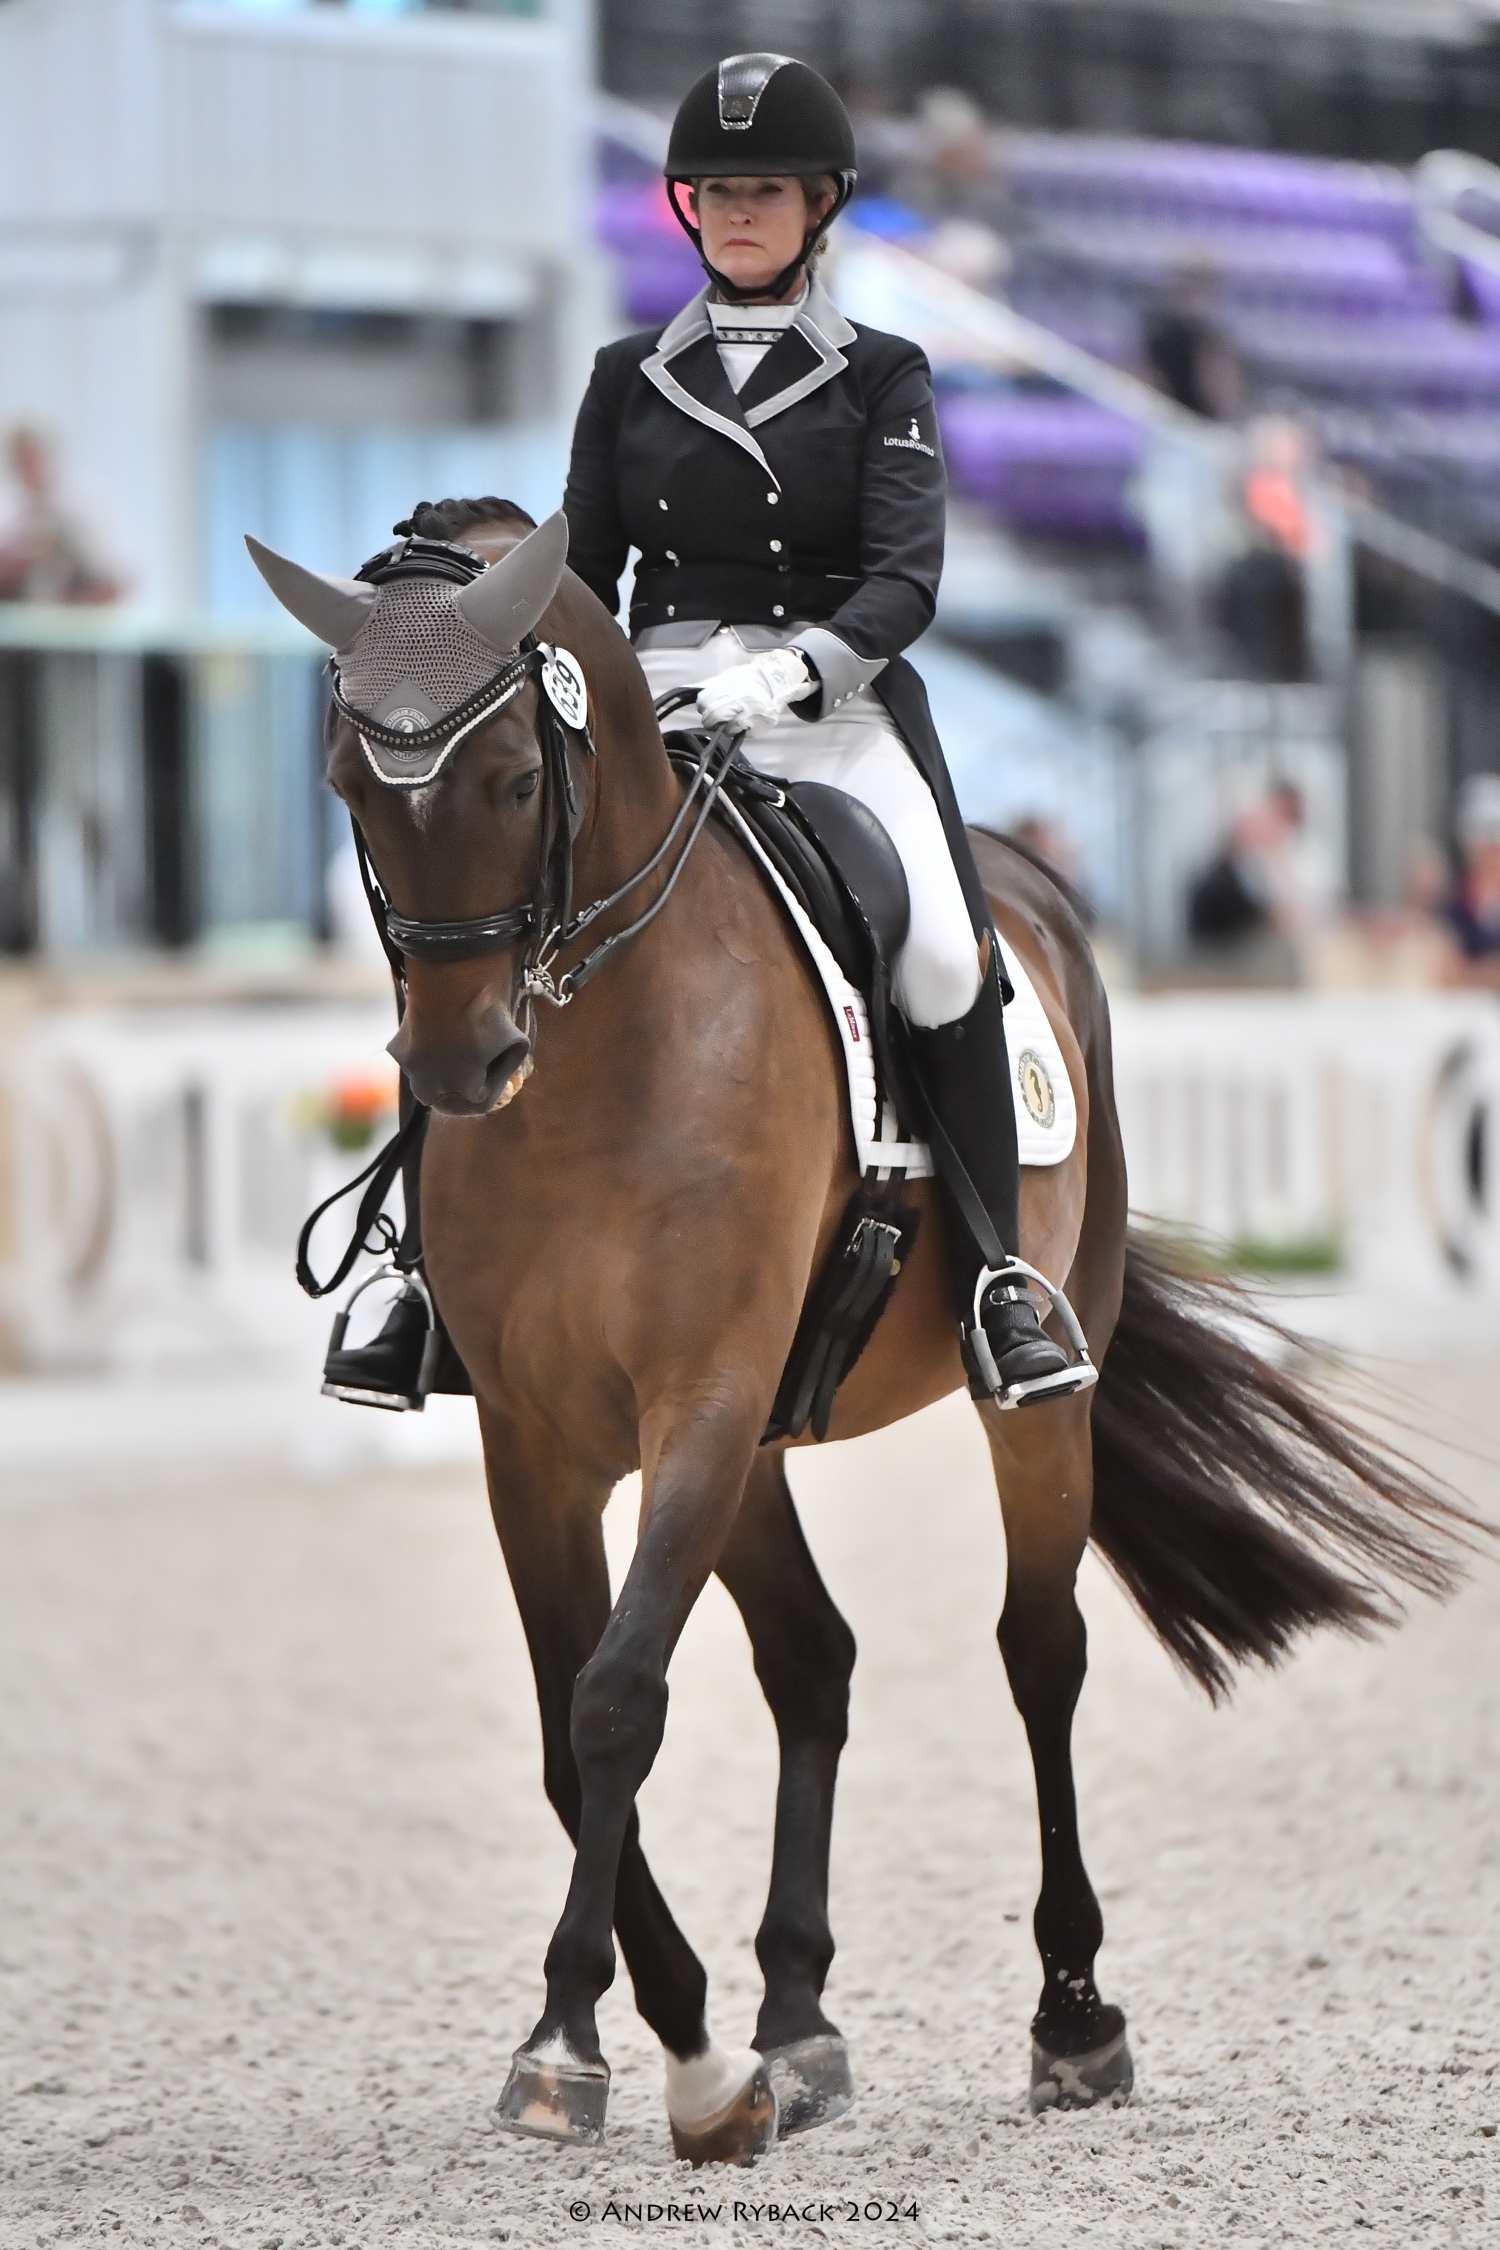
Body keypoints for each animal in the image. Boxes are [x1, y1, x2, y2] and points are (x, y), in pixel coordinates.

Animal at [278, 507, 1473, 2167]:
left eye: (516, 775)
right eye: (348, 784)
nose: (461, 1063)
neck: (603, 1049)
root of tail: (1035, 882)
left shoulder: (702, 1404)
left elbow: (616, 1702)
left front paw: (613, 2045)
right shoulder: (542, 1440)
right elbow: (567, 1727)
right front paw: (657, 2036)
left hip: (1017, 1397)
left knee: (1041, 1650)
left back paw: (1072, 2018)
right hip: (759, 1444)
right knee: (813, 1658)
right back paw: (798, 2019)